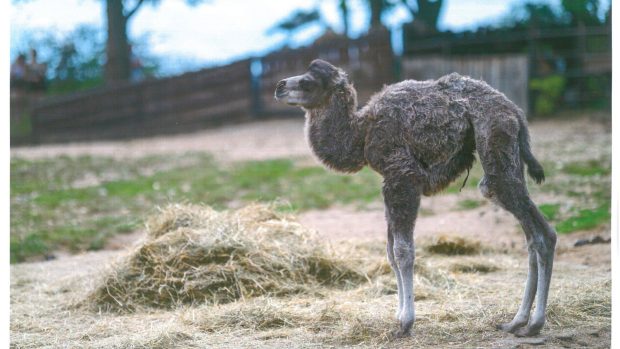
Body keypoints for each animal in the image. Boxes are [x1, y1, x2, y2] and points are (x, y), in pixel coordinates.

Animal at [276, 58, 556, 336]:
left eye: (308, 82)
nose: (280, 86)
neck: (362, 132)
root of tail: (516, 112)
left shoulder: (402, 176)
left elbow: (402, 251)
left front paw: (406, 323)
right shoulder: (390, 182)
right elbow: (390, 253)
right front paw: (398, 316)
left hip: (494, 143)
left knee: (542, 233)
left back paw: (534, 323)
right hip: (510, 155)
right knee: (532, 236)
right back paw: (517, 322)